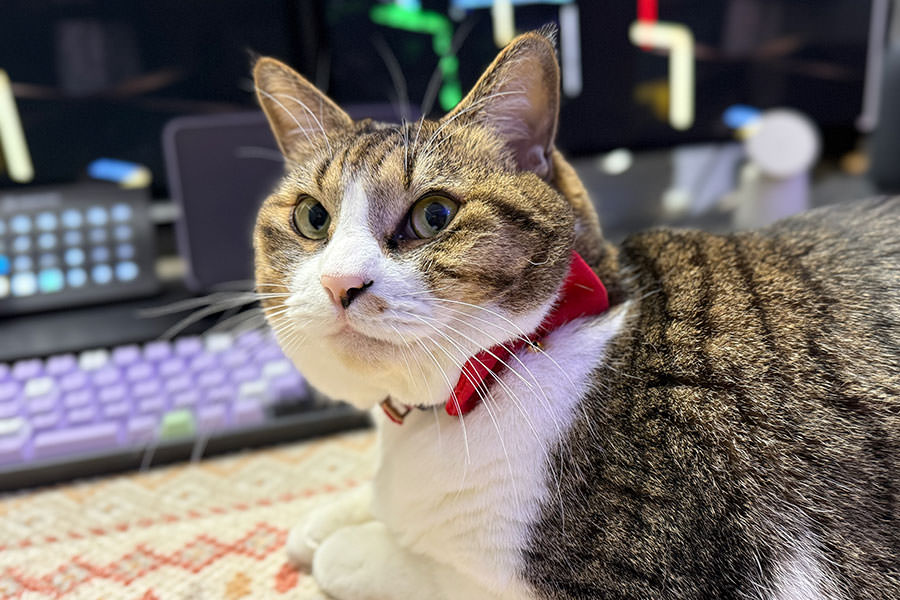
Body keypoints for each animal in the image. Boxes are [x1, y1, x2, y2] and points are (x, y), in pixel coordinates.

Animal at [251, 27, 899, 600]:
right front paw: (333, 515)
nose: (340, 284)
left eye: (434, 215)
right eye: (312, 217)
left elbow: (412, 567)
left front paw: (354, 544)